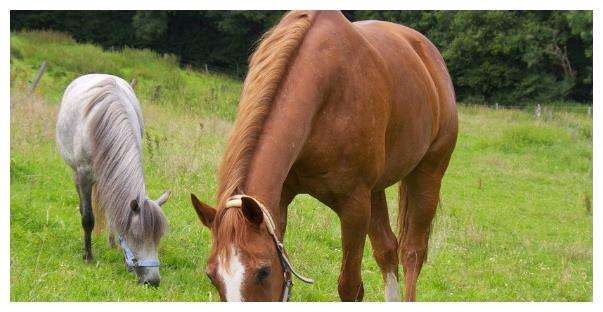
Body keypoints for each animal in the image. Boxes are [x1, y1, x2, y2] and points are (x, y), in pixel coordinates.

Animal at [56, 74, 170, 286]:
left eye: (158, 237)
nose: (152, 281)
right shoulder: (83, 177)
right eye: (136, 236)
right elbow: (87, 218)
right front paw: (88, 256)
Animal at [191, 11, 460, 302]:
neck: (325, 91)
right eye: (212, 276)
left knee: (412, 252)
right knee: (387, 249)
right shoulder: (280, 203)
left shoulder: (354, 207)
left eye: (263, 271)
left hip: (428, 174)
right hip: (375, 191)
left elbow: (350, 287)